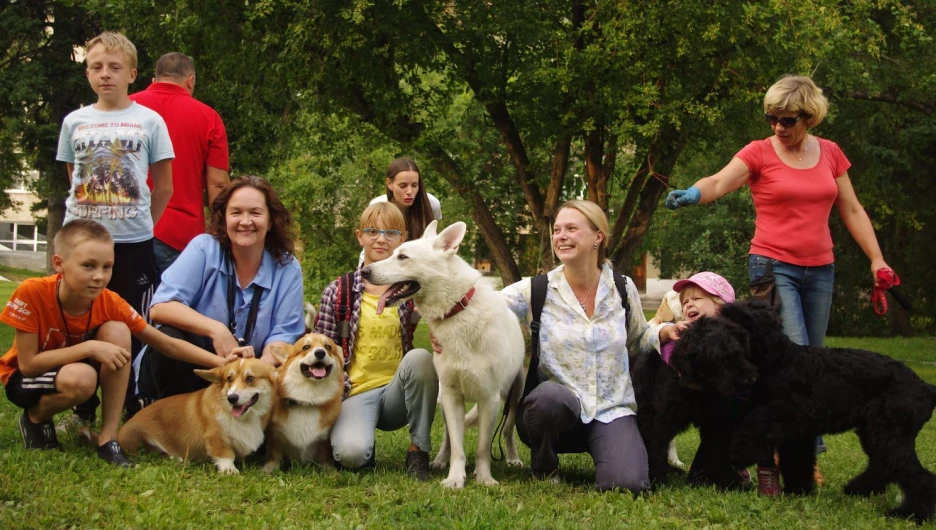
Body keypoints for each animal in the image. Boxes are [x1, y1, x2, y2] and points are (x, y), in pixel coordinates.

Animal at [116, 356, 274, 472]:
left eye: (250, 378)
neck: (245, 418)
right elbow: (225, 454)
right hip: (139, 437)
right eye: (229, 379)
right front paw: (229, 469)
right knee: (151, 453)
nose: (232, 398)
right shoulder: (215, 439)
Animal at [264, 332, 344, 468]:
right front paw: (270, 467)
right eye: (306, 347)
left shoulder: (324, 439)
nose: (320, 353)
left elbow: (324, 457)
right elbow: (274, 454)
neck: (308, 401)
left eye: (328, 347)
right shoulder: (275, 435)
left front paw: (328, 469)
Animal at [362, 219, 528, 486]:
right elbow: (458, 446)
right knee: (448, 438)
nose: (364, 272)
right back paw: (440, 460)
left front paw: (484, 478)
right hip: (445, 401)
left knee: (508, 430)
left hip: (515, 395)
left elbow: (483, 448)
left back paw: (513, 458)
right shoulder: (451, 395)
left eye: (403, 257)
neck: (457, 311)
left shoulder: (489, 399)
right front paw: (455, 478)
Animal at [672, 300, 936, 520]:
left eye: (735, 321)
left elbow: (755, 422)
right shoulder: (798, 434)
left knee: (915, 474)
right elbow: (796, 460)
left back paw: (911, 513)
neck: (779, 361)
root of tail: (926, 387)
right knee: (885, 466)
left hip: (888, 433)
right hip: (875, 433)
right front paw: (798, 490)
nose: (694, 330)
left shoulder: (793, 414)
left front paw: (740, 451)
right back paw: (858, 488)